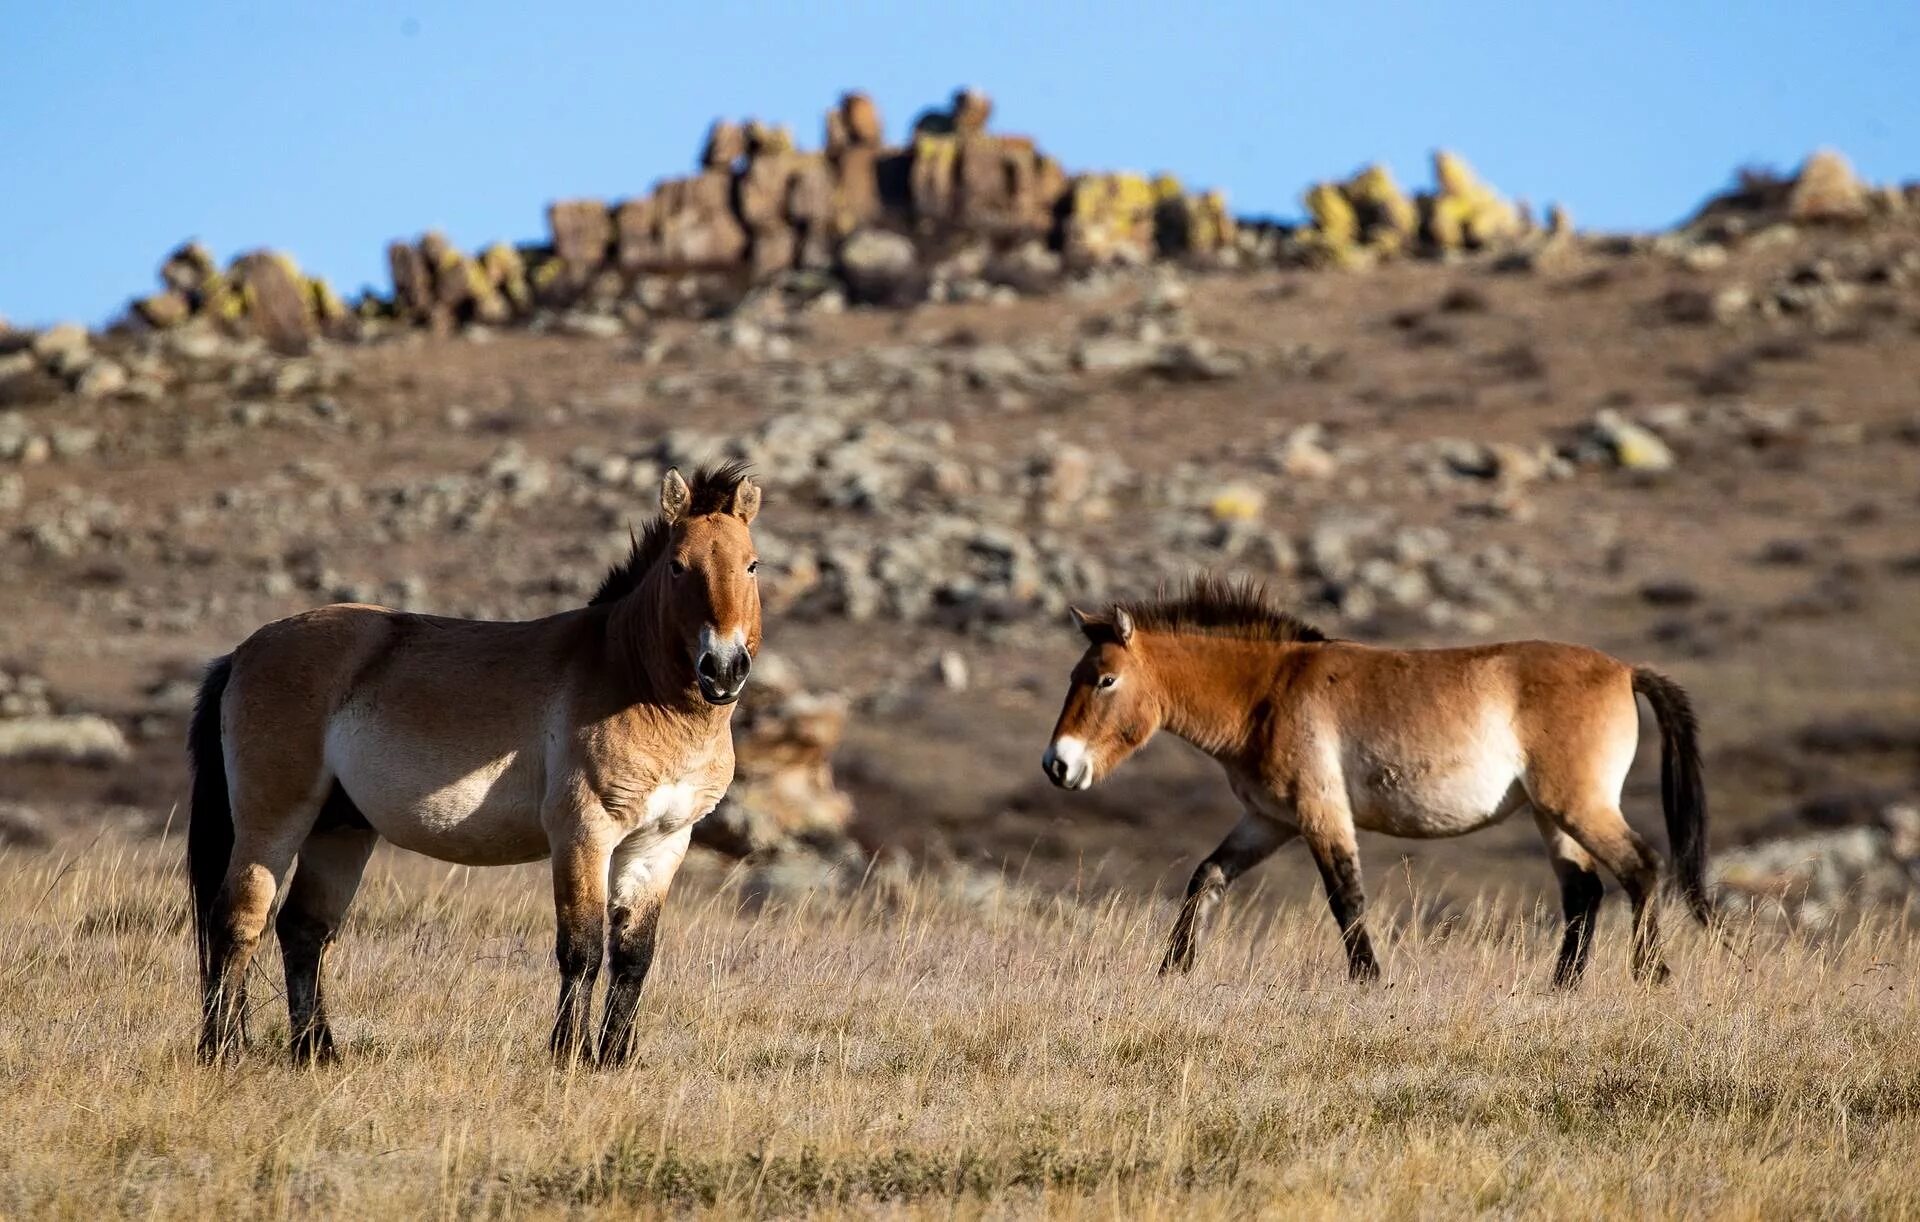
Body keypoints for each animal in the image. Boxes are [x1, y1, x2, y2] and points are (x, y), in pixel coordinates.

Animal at [187, 463, 764, 1068]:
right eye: (678, 566)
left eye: (752, 564)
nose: (723, 668)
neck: (635, 682)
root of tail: (242, 653)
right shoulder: (583, 834)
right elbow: (581, 949)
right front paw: (569, 1055)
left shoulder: (662, 841)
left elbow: (633, 956)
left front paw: (614, 1060)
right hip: (274, 818)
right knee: (238, 922)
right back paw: (221, 1050)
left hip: (340, 828)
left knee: (304, 929)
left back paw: (318, 1053)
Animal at [1044, 576, 1720, 991]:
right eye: (1074, 674)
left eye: (1104, 679)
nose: (1058, 765)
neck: (1267, 691)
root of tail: (1625, 669)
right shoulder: (1269, 821)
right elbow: (1206, 877)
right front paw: (1172, 970)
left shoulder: (1319, 812)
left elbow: (1346, 896)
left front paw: (1369, 979)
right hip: (1551, 815)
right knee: (1584, 892)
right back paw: (1561, 989)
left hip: (1577, 804)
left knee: (1640, 867)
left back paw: (1651, 976)